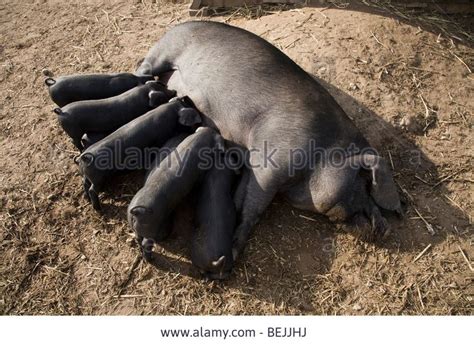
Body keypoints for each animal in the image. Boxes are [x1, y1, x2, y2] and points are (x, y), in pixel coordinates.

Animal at [135, 20, 402, 256]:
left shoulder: (253, 162)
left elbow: (242, 196)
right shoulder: (271, 163)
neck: (320, 153)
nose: (386, 229)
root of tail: (177, 25)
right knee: (143, 67)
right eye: (364, 181)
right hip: (165, 51)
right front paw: (234, 249)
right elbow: (255, 207)